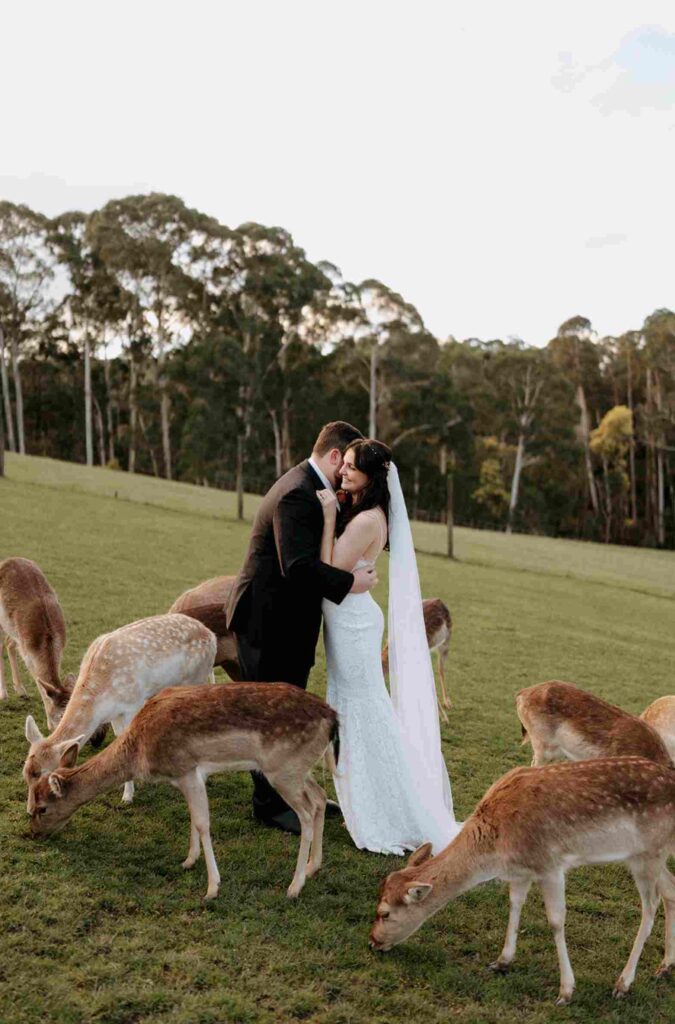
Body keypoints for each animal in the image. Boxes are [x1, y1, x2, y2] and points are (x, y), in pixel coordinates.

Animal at [0, 557, 75, 733]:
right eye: (60, 715)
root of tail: (7, 560)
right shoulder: (28, 655)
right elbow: (39, 682)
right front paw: (49, 725)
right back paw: (4, 693)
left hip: (14, 630)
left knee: (9, 644)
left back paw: (20, 691)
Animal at [25, 610, 215, 802]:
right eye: (26, 773)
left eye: (41, 773)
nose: (31, 805)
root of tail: (210, 634)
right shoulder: (115, 714)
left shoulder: (133, 702)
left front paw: (128, 796)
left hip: (198, 676)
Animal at [29, 684, 338, 901]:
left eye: (41, 808)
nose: (33, 834)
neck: (140, 751)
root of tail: (333, 718)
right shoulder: (188, 776)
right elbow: (192, 817)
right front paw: (188, 860)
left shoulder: (187, 768)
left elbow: (202, 823)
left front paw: (212, 888)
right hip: (299, 770)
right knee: (320, 797)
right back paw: (313, 866)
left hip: (282, 770)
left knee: (306, 813)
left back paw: (294, 886)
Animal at [372, 757, 675, 1003]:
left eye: (384, 913)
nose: (373, 941)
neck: (495, 852)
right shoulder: (521, 871)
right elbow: (515, 904)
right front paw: (502, 961)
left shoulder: (549, 864)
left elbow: (555, 921)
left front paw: (566, 990)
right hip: (648, 855)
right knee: (670, 889)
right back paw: (665, 965)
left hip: (648, 854)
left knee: (650, 907)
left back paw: (623, 983)